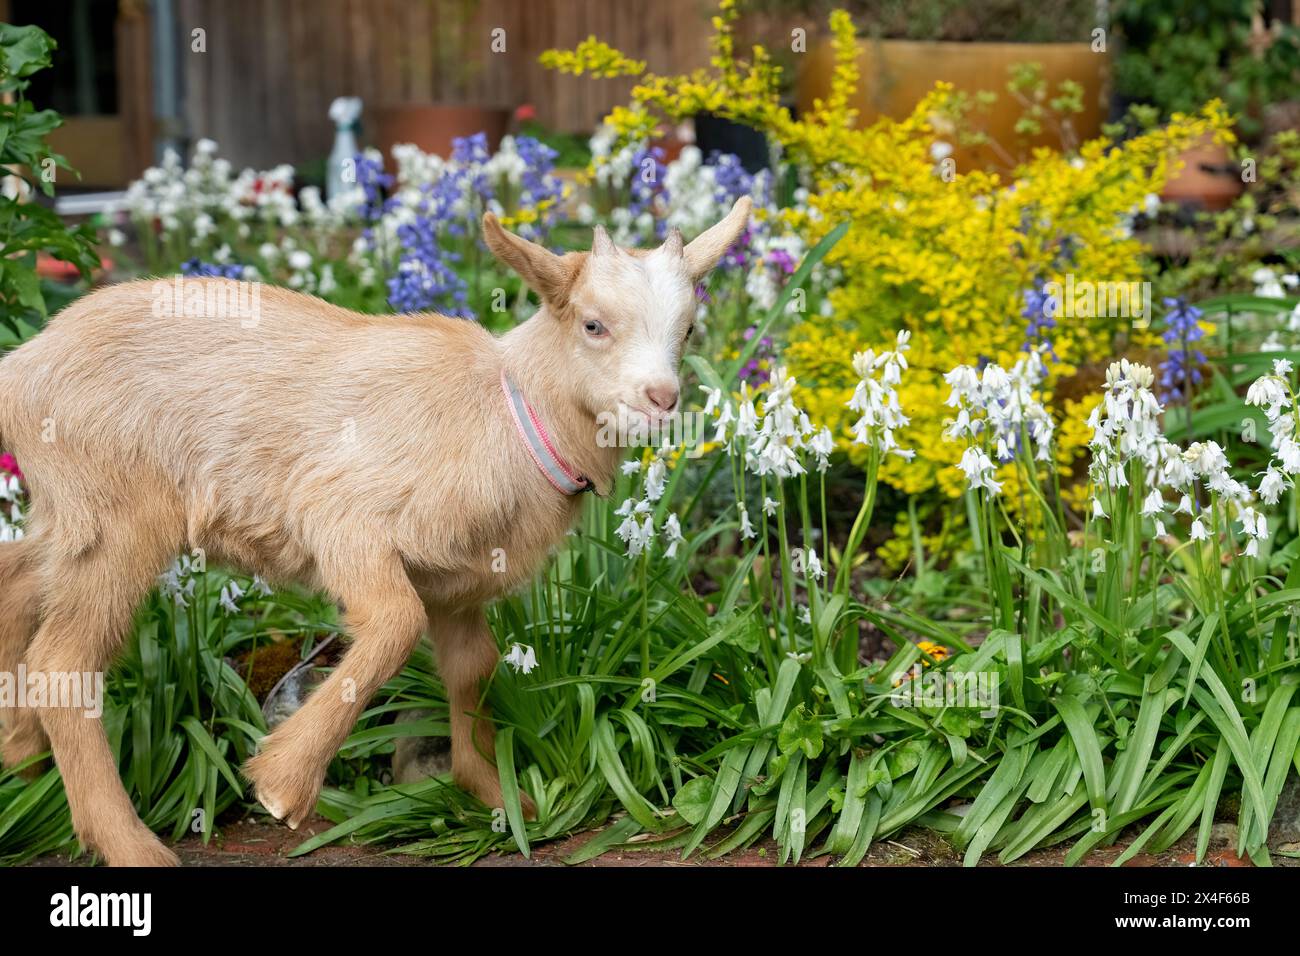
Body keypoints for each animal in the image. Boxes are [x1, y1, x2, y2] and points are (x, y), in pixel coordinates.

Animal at [0, 200, 754, 868]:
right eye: (594, 325)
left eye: (689, 330)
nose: (662, 399)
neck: (508, 411)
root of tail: (22, 366)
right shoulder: (343, 516)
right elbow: (394, 625)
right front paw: (282, 784)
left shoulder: (457, 583)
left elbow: (472, 668)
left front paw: (497, 800)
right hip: (116, 516)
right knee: (63, 662)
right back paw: (130, 844)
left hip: (72, 515)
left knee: (17, 578)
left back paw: (18, 749)